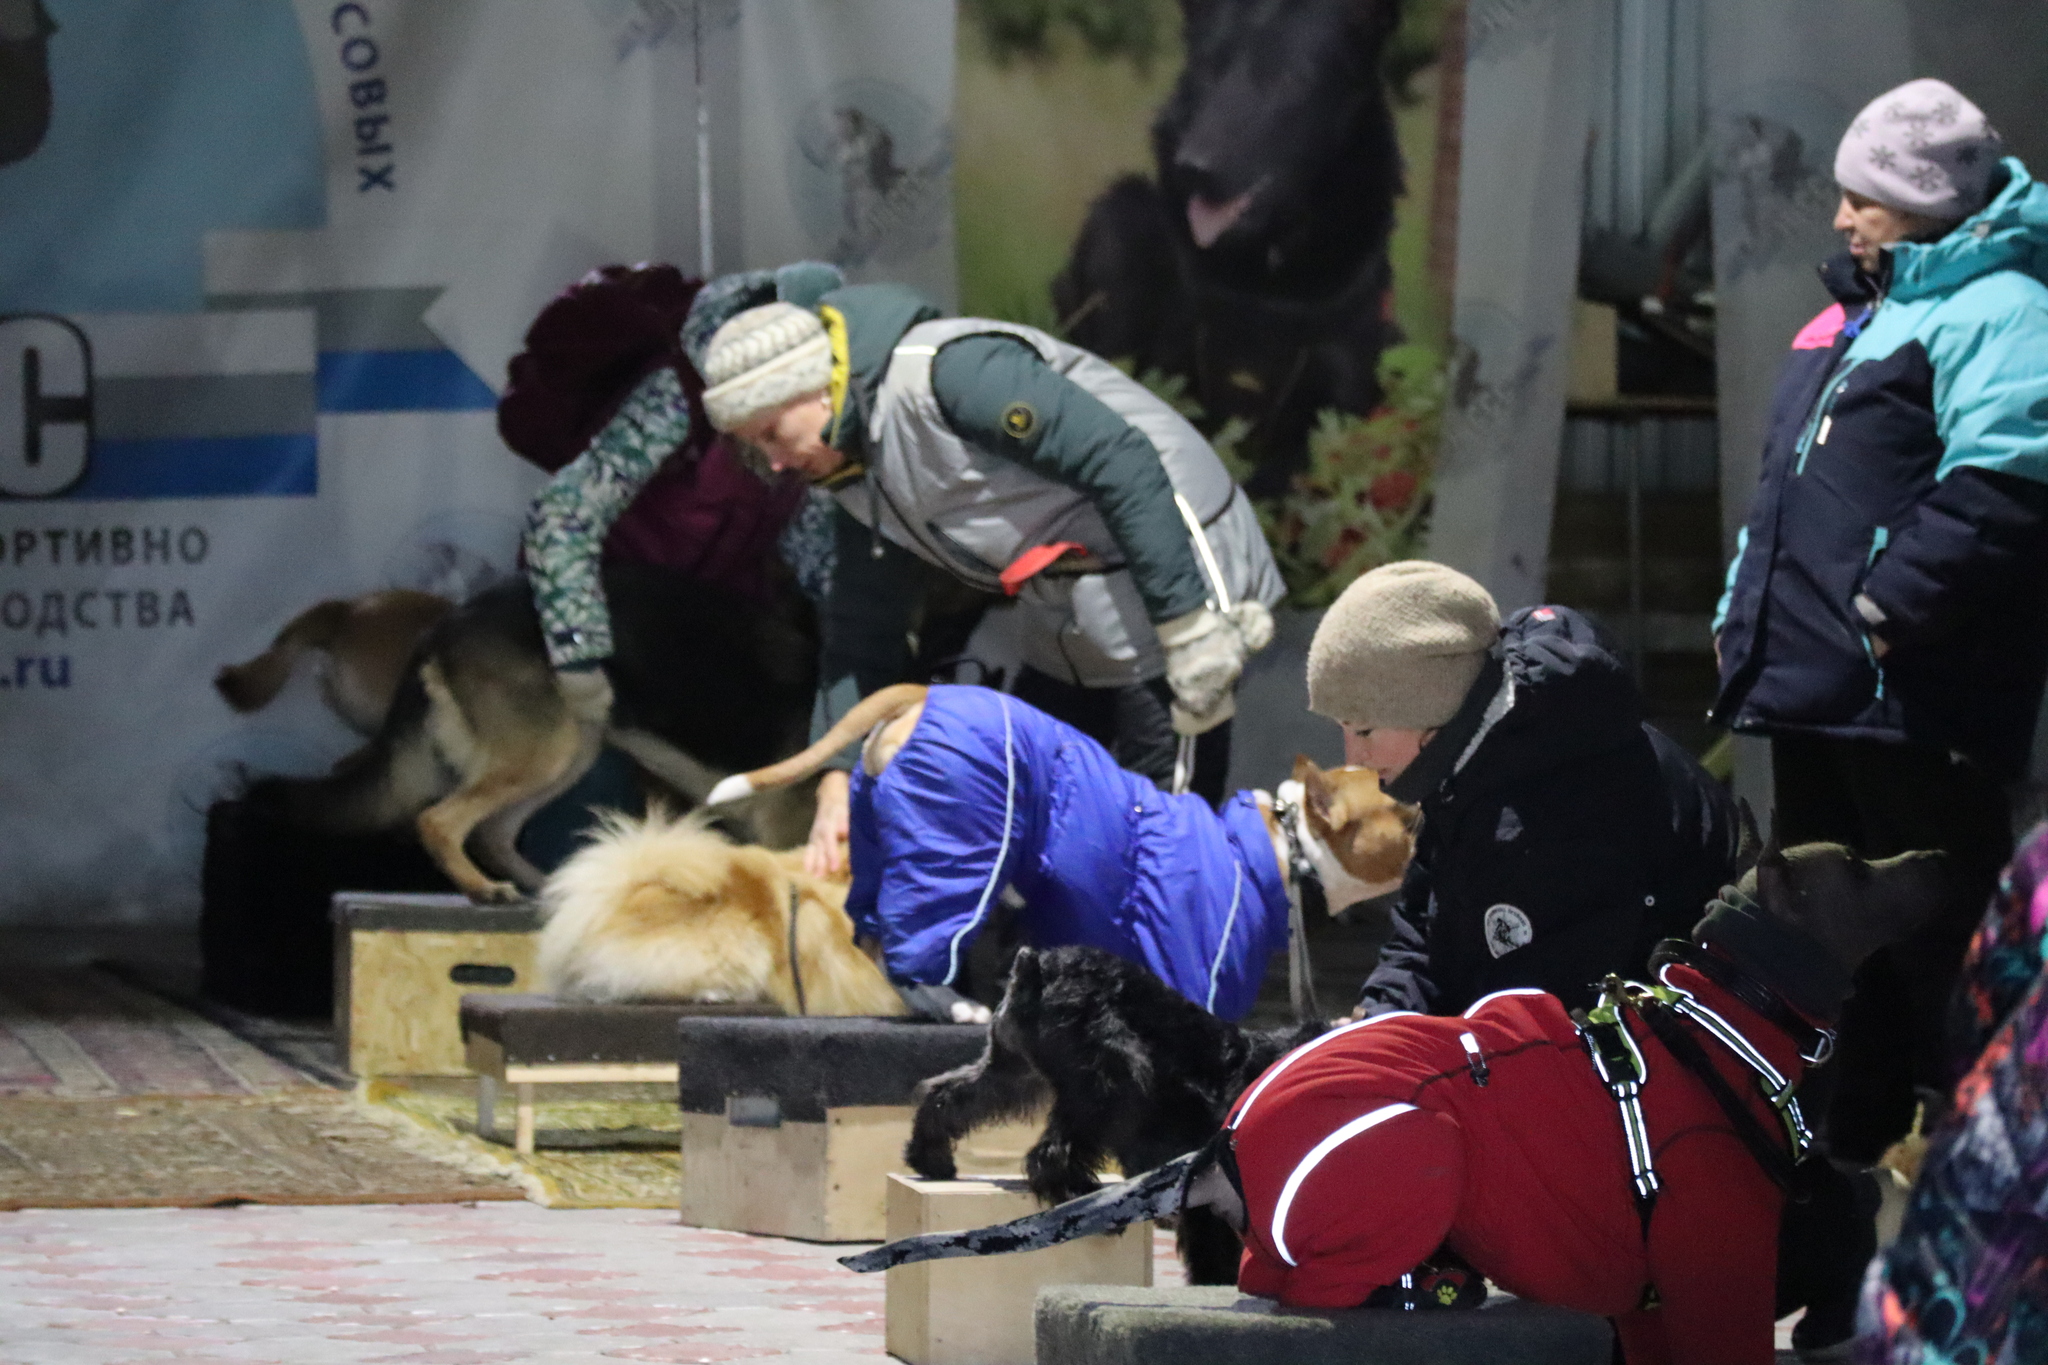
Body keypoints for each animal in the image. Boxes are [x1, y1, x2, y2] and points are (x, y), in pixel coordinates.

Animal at [241, 564, 815, 908]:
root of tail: (446, 624)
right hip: (545, 752)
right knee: (440, 821)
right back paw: (481, 888)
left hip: (570, 750)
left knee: (493, 831)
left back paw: (546, 885)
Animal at [704, 687, 1409, 1019]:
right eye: (1397, 807)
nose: (1424, 807)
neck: (1286, 840)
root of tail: (922, 693)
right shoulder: (1198, 951)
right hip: (960, 851)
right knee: (915, 946)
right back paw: (957, 1004)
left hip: (889, 846)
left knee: (879, 939)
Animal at [905, 945, 1318, 1285]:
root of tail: (1035, 965)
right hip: (1106, 1084)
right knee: (1050, 1156)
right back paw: (1083, 1199)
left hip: (1014, 1071)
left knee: (948, 1095)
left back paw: (931, 1159)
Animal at [1056, 0, 1409, 491]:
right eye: (1209, 70)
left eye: (1288, 80)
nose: (1193, 167)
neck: (1263, 280)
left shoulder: (1333, 414)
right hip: (1120, 215)